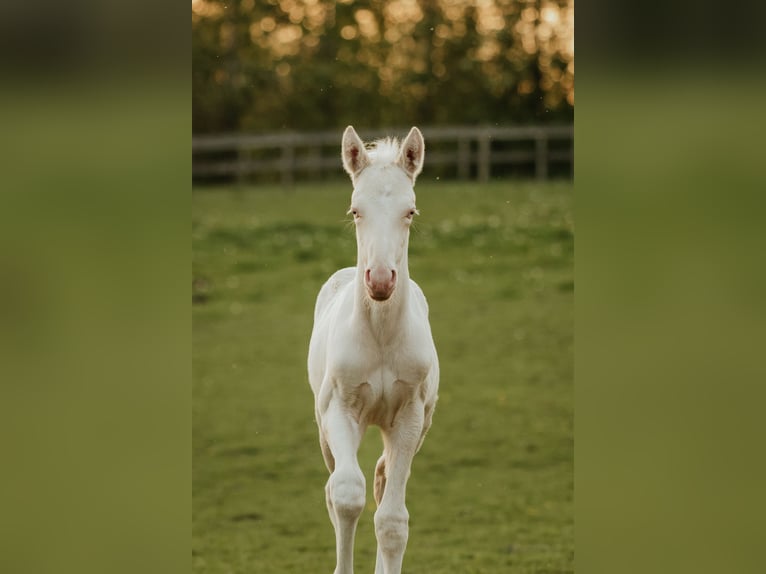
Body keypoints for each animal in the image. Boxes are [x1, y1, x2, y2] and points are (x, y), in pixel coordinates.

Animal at [308, 127, 440, 574]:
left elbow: (392, 521)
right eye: (355, 211)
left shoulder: (410, 418)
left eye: (410, 212)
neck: (381, 336)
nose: (380, 280)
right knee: (334, 489)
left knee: (383, 483)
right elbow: (347, 495)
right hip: (324, 428)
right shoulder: (339, 409)